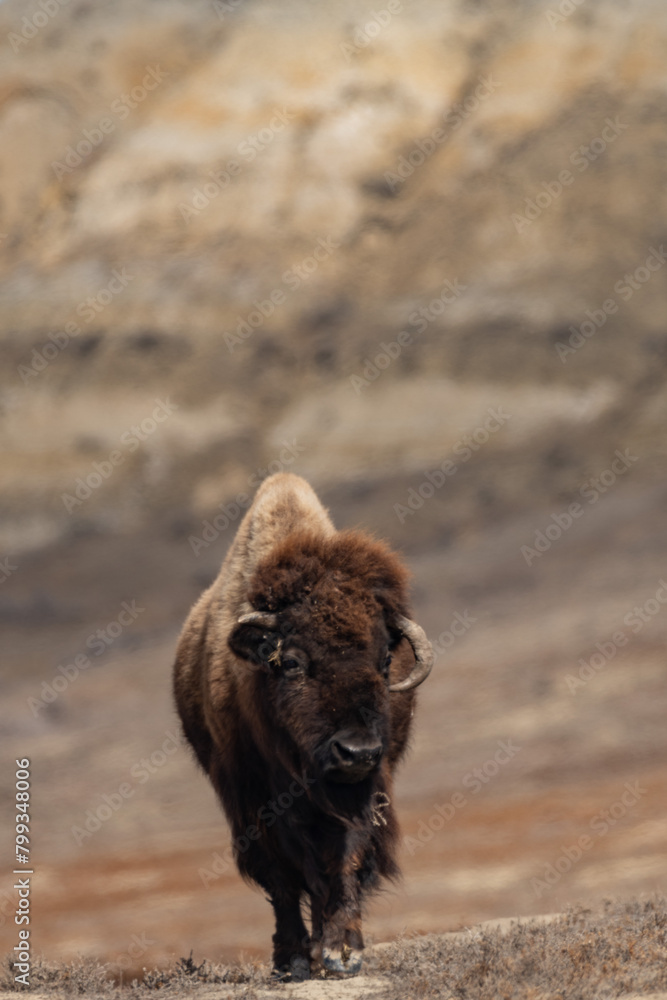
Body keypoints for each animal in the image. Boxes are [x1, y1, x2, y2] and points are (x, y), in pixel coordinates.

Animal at [173, 473, 433, 979]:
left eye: (385, 660)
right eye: (292, 661)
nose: (356, 752)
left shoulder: (366, 792)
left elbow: (347, 857)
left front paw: (342, 951)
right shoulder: (254, 800)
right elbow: (284, 874)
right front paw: (297, 957)